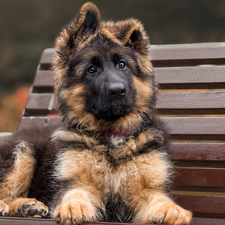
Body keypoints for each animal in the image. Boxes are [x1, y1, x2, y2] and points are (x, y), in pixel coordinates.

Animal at [0, 2, 193, 225]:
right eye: (91, 69)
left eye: (122, 65)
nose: (117, 91)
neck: (112, 137)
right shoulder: (77, 182)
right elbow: (75, 194)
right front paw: (73, 207)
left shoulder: (147, 188)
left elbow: (160, 198)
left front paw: (171, 209)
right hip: (22, 152)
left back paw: (27, 206)